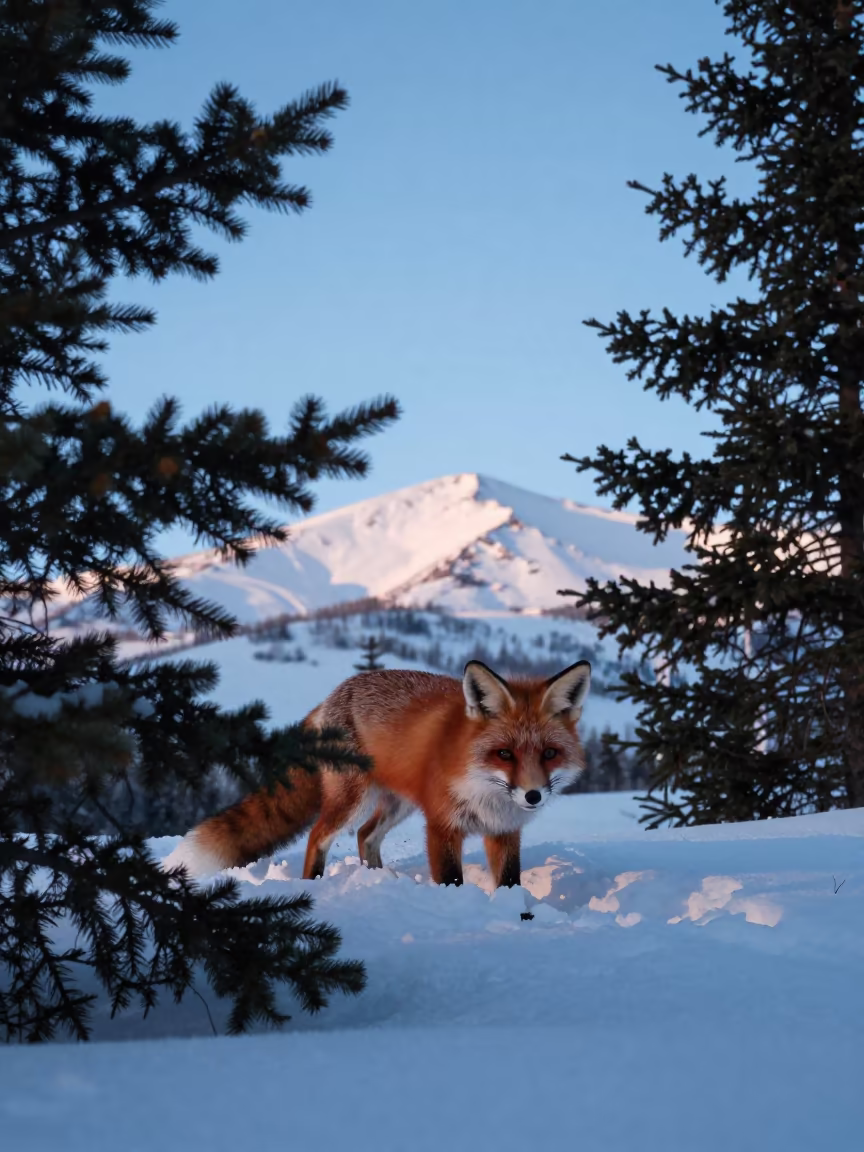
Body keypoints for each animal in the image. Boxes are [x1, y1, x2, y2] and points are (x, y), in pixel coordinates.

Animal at [165, 658, 591, 889]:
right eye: (504, 754)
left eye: (549, 754)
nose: (533, 795)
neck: (484, 790)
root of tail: (330, 697)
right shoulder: (441, 825)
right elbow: (451, 879)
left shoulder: (504, 832)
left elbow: (509, 883)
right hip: (352, 799)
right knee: (319, 836)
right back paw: (313, 885)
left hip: (397, 804)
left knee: (365, 836)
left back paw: (380, 880)